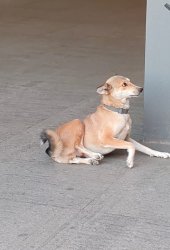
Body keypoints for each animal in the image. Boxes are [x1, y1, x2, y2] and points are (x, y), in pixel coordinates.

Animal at [40, 74, 170, 168]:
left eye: (130, 81)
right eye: (124, 84)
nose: (141, 89)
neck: (118, 112)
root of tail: (52, 148)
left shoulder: (126, 138)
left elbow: (145, 148)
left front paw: (160, 153)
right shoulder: (107, 138)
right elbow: (132, 146)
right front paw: (129, 161)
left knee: (72, 159)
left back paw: (91, 160)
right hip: (78, 122)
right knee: (77, 145)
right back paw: (95, 155)